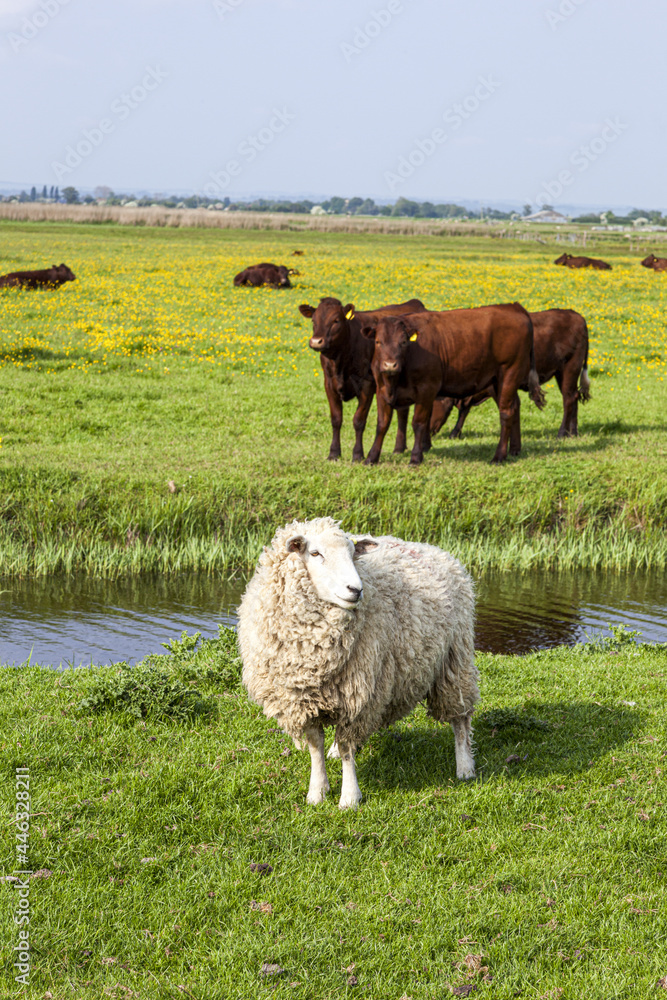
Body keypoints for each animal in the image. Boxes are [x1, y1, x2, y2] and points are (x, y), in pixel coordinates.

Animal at [237, 517, 479, 809]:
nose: (356, 590)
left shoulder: (358, 697)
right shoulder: (302, 700)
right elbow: (315, 746)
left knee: (461, 718)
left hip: (455, 658)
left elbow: (347, 749)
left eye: (354, 553)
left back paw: (465, 766)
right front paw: (317, 791)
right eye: (315, 553)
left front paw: (349, 797)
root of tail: (435, 549)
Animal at [299, 297, 426, 462]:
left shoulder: (367, 385)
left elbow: (359, 420)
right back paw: (399, 448)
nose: (316, 341)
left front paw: (358, 454)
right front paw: (334, 453)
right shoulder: (329, 384)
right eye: (313, 320)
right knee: (403, 412)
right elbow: (336, 419)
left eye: (336, 320)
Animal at [361, 303, 545, 466]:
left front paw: (415, 458)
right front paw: (371, 458)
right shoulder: (382, 391)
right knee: (515, 406)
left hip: (509, 373)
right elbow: (382, 424)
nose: (390, 365)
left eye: (404, 342)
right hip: (496, 381)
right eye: (378, 342)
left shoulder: (427, 390)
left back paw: (499, 456)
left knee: (506, 412)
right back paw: (514, 449)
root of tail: (514, 307)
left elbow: (418, 423)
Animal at [431, 308, 590, 440]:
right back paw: (573, 432)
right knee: (574, 396)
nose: (430, 430)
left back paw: (562, 433)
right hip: (561, 373)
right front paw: (454, 433)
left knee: (568, 399)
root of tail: (577, 316)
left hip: (570, 368)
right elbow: (464, 411)